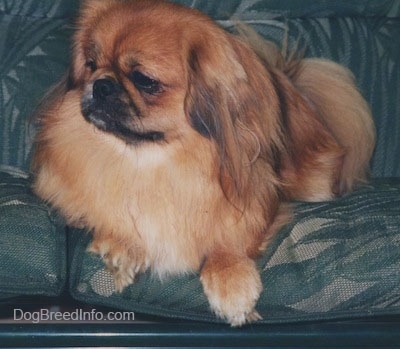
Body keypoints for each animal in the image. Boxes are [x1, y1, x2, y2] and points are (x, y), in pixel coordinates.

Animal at [31, 0, 376, 326]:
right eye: (91, 65)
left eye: (145, 81)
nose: (101, 84)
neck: (148, 161)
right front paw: (122, 246)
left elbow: (228, 239)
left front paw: (231, 282)